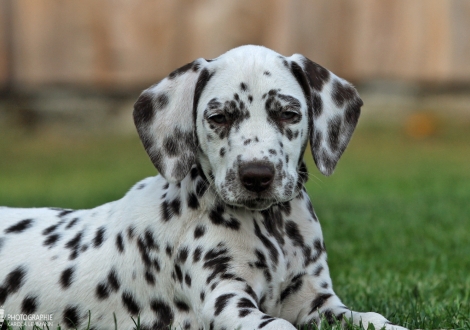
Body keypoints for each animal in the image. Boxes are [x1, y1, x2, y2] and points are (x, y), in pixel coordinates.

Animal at [0, 44, 406, 330]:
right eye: (219, 117)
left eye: (289, 114)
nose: (256, 175)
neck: (271, 228)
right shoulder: (226, 303)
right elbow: (279, 325)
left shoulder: (317, 302)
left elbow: (371, 319)